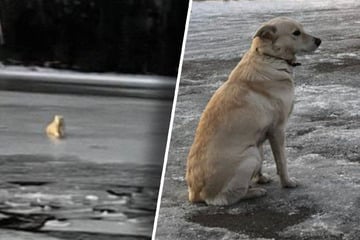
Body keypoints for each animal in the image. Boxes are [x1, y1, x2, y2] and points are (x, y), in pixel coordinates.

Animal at [186, 16, 320, 205]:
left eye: (302, 29)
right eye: (296, 33)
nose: (319, 40)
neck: (269, 57)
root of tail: (195, 194)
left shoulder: (261, 134)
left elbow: (265, 160)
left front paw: (260, 178)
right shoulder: (278, 130)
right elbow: (282, 162)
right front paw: (287, 182)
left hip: (254, 150)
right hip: (250, 155)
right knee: (226, 198)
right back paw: (254, 192)